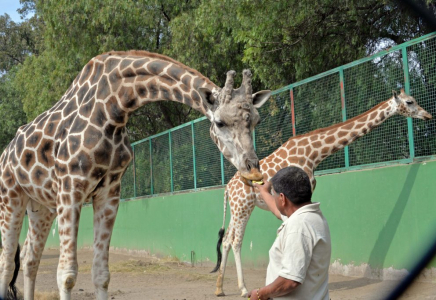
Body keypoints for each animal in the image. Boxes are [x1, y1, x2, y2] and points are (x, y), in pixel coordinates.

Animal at [0, 50, 272, 298]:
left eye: (256, 121)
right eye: (219, 123)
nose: (252, 169)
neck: (114, 110)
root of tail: (6, 153)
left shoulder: (109, 192)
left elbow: (101, 274)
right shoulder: (71, 189)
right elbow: (66, 275)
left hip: (41, 206)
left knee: (29, 258)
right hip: (11, 198)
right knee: (7, 261)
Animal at [212, 88, 432, 296]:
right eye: (410, 101)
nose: (428, 115)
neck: (314, 154)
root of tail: (227, 188)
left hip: (237, 207)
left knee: (227, 239)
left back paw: (219, 288)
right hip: (243, 206)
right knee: (235, 240)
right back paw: (242, 288)